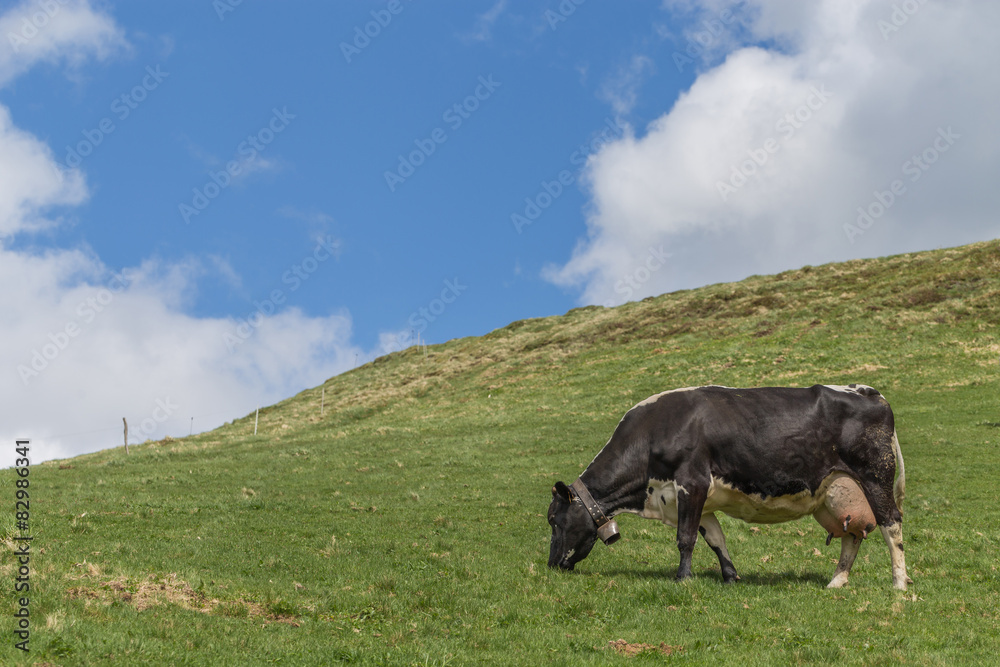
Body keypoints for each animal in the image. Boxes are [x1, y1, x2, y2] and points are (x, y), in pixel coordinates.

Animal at [552, 386, 912, 588]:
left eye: (553, 520)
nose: (552, 565)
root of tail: (866, 390)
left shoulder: (692, 482)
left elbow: (685, 538)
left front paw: (683, 579)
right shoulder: (698, 499)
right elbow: (714, 539)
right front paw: (730, 576)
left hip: (875, 477)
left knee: (891, 524)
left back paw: (899, 584)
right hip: (839, 493)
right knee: (853, 534)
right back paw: (836, 582)